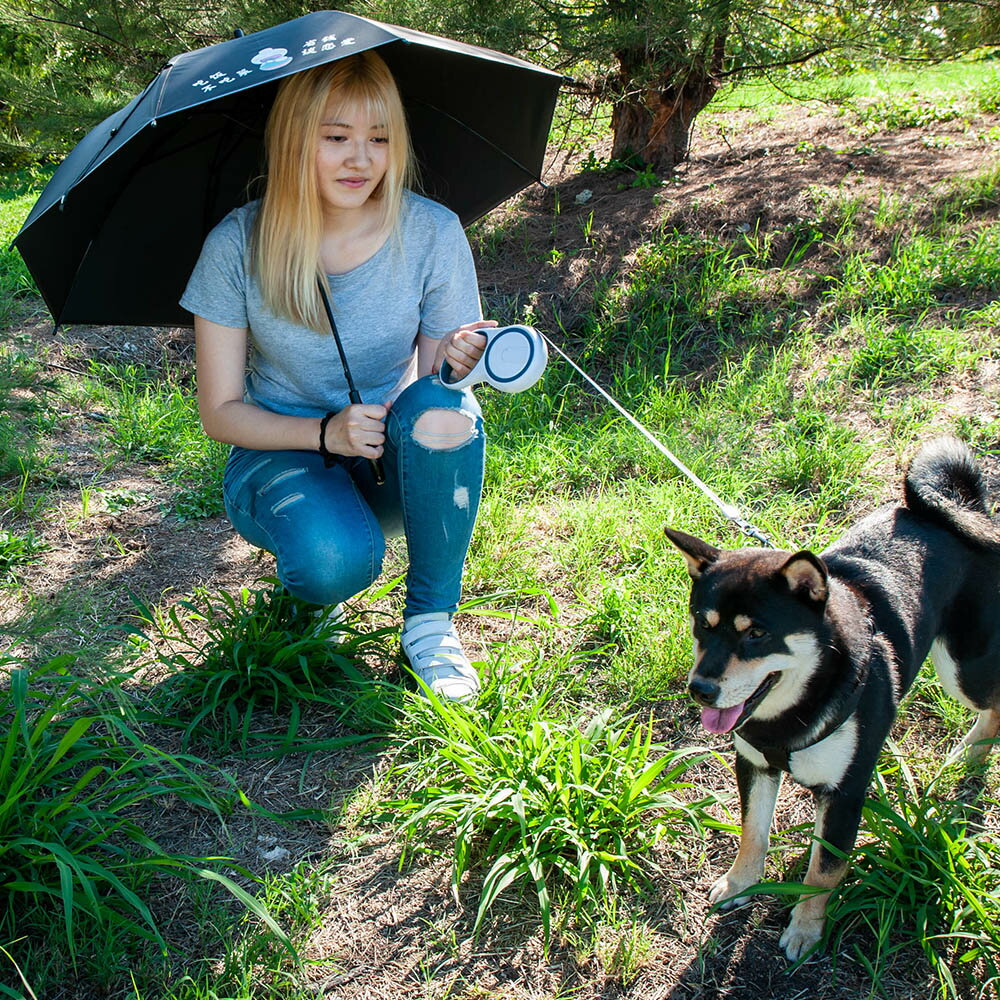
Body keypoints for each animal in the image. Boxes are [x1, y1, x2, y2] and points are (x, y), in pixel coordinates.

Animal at [664, 438, 1000, 960]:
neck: (791, 713)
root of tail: (963, 508)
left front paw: (805, 929)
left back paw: (972, 753)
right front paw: (741, 884)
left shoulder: (845, 794)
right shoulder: (754, 764)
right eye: (703, 623)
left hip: (963, 668)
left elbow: (823, 871)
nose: (700, 689)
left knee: (994, 703)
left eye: (757, 633)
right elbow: (753, 832)